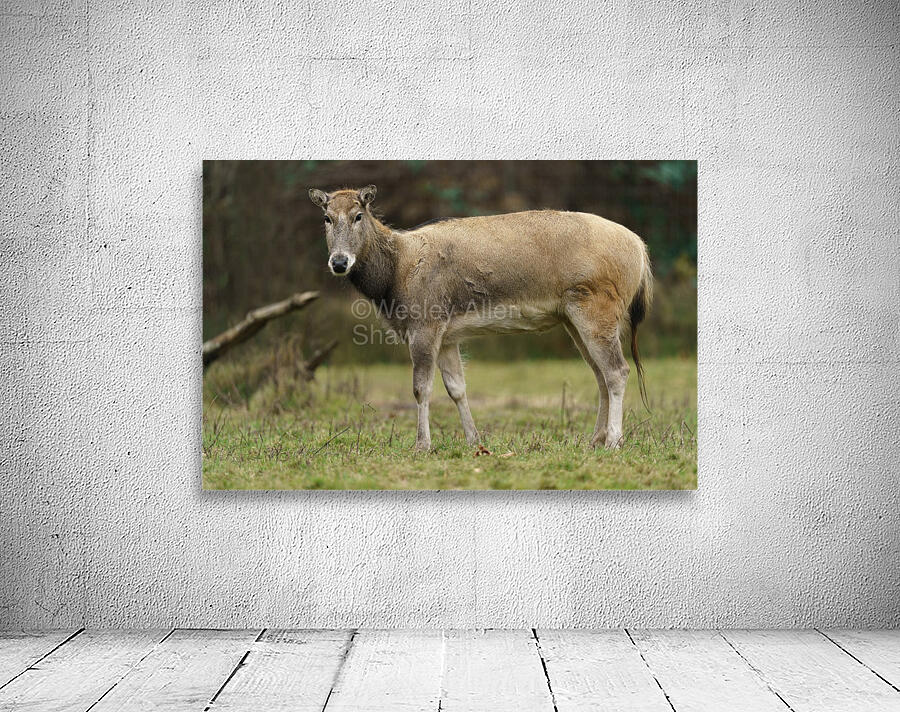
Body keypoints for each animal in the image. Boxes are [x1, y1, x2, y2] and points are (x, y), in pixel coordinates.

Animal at [309, 184, 652, 452]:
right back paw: (594, 440)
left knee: (618, 370)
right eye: (327, 217)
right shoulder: (448, 336)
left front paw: (422, 445)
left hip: (597, 307)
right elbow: (457, 388)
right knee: (600, 374)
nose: (339, 262)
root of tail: (641, 250)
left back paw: (614, 441)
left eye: (358, 215)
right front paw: (475, 440)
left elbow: (421, 388)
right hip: (572, 318)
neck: (396, 278)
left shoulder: (425, 323)